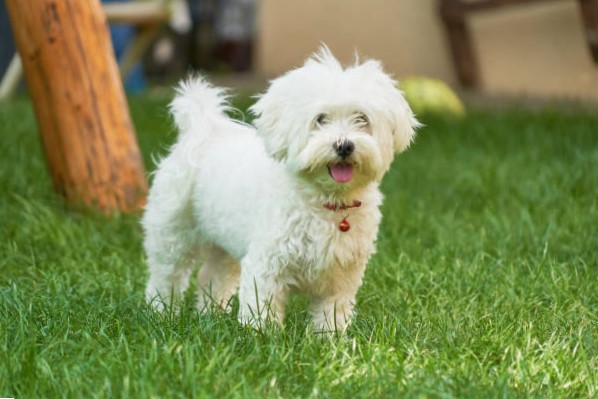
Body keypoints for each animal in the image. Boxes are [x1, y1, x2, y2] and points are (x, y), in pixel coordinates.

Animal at [143, 47, 420, 332]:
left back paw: (211, 315)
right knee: (166, 275)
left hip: (224, 240)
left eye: (362, 119)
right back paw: (161, 312)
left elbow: (331, 312)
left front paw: (329, 338)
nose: (344, 145)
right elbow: (261, 307)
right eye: (320, 119)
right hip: (172, 230)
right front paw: (260, 335)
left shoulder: (341, 275)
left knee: (212, 276)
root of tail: (204, 128)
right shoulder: (267, 264)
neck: (325, 200)